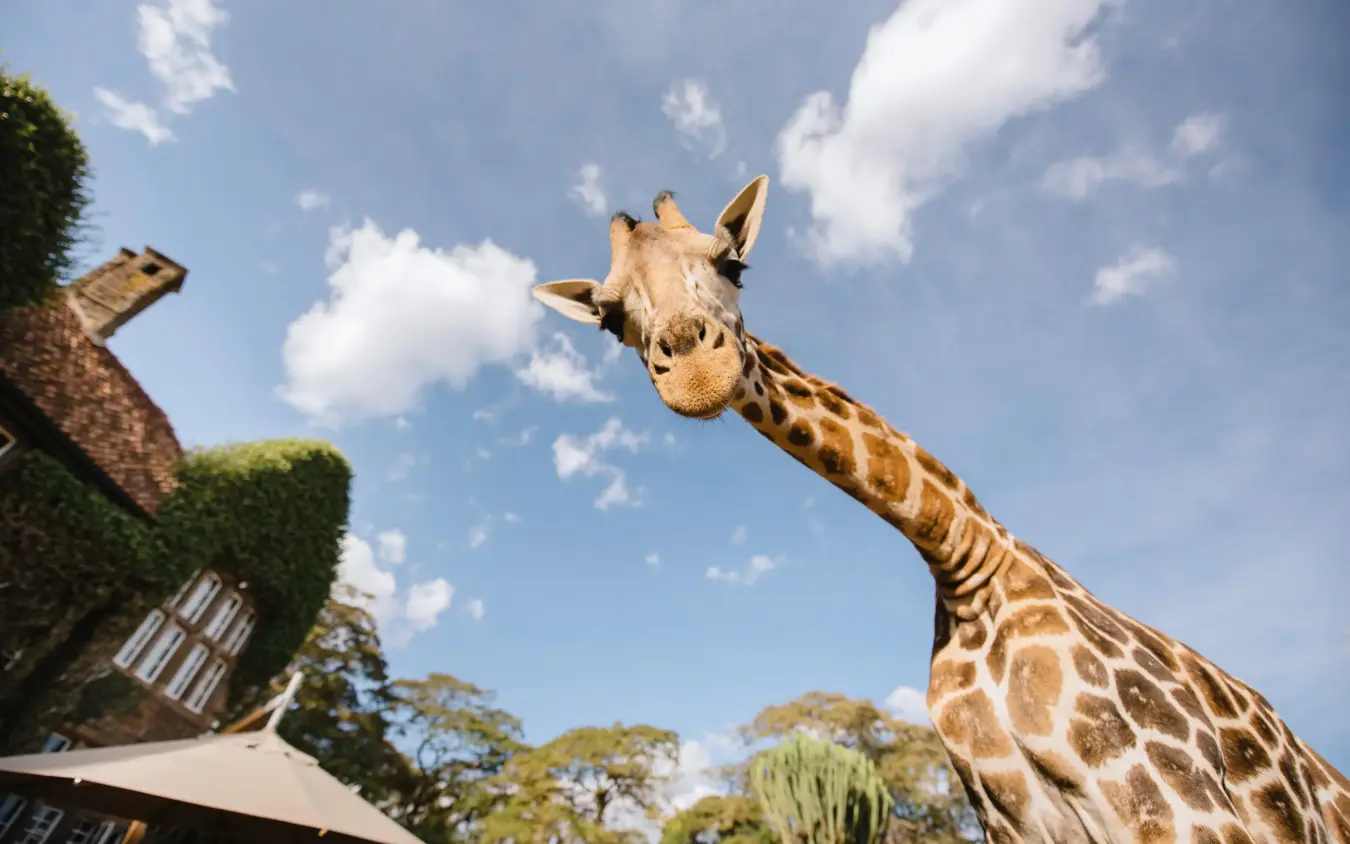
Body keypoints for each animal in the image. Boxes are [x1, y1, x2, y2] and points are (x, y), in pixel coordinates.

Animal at [531, 175, 1350, 844]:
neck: (962, 561)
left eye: (733, 263)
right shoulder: (1016, 822)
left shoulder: (1173, 802)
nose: (695, 372)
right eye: (609, 320)